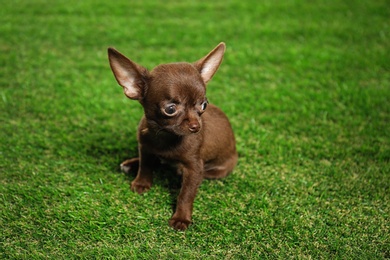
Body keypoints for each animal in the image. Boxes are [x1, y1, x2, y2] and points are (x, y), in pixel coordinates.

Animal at [108, 42, 239, 232]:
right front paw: (142, 182)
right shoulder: (144, 147)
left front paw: (181, 218)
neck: (165, 136)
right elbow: (146, 165)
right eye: (170, 109)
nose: (196, 126)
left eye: (204, 105)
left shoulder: (194, 168)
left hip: (219, 169)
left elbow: (186, 194)